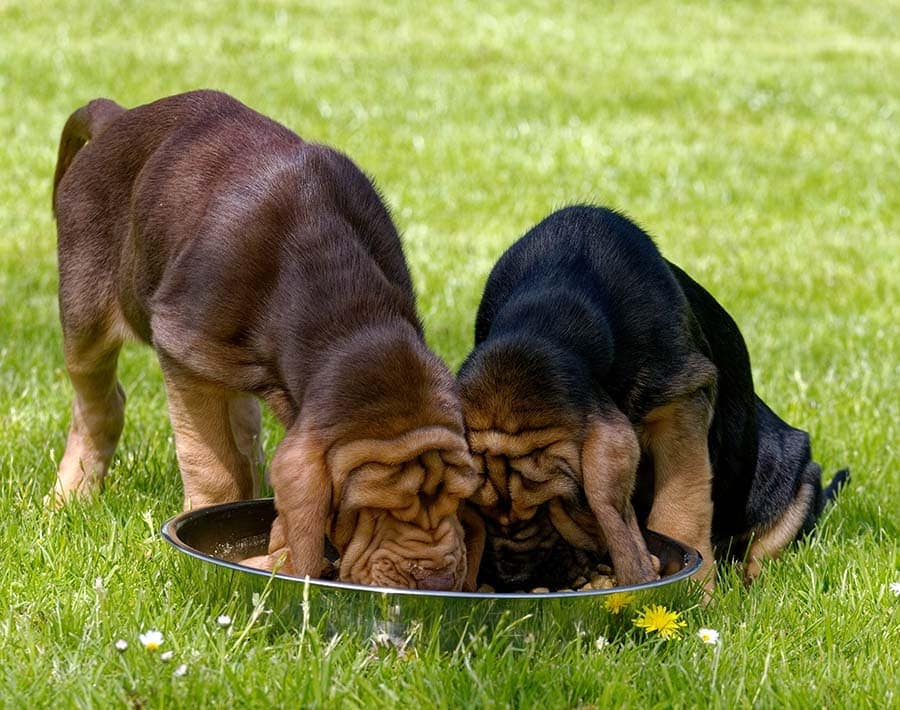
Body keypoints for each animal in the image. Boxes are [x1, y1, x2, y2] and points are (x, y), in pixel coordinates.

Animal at [51, 92, 486, 592]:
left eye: (460, 499)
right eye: (371, 510)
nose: (437, 579)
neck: (346, 311)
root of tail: (115, 117)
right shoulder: (181, 346)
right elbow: (213, 468)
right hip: (85, 307)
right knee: (100, 403)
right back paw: (71, 494)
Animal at [460, 207, 848, 596]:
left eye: (549, 507)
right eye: (479, 509)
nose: (514, 579)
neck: (548, 318)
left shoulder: (682, 402)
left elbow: (682, 505)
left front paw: (695, 593)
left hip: (791, 471)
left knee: (764, 548)